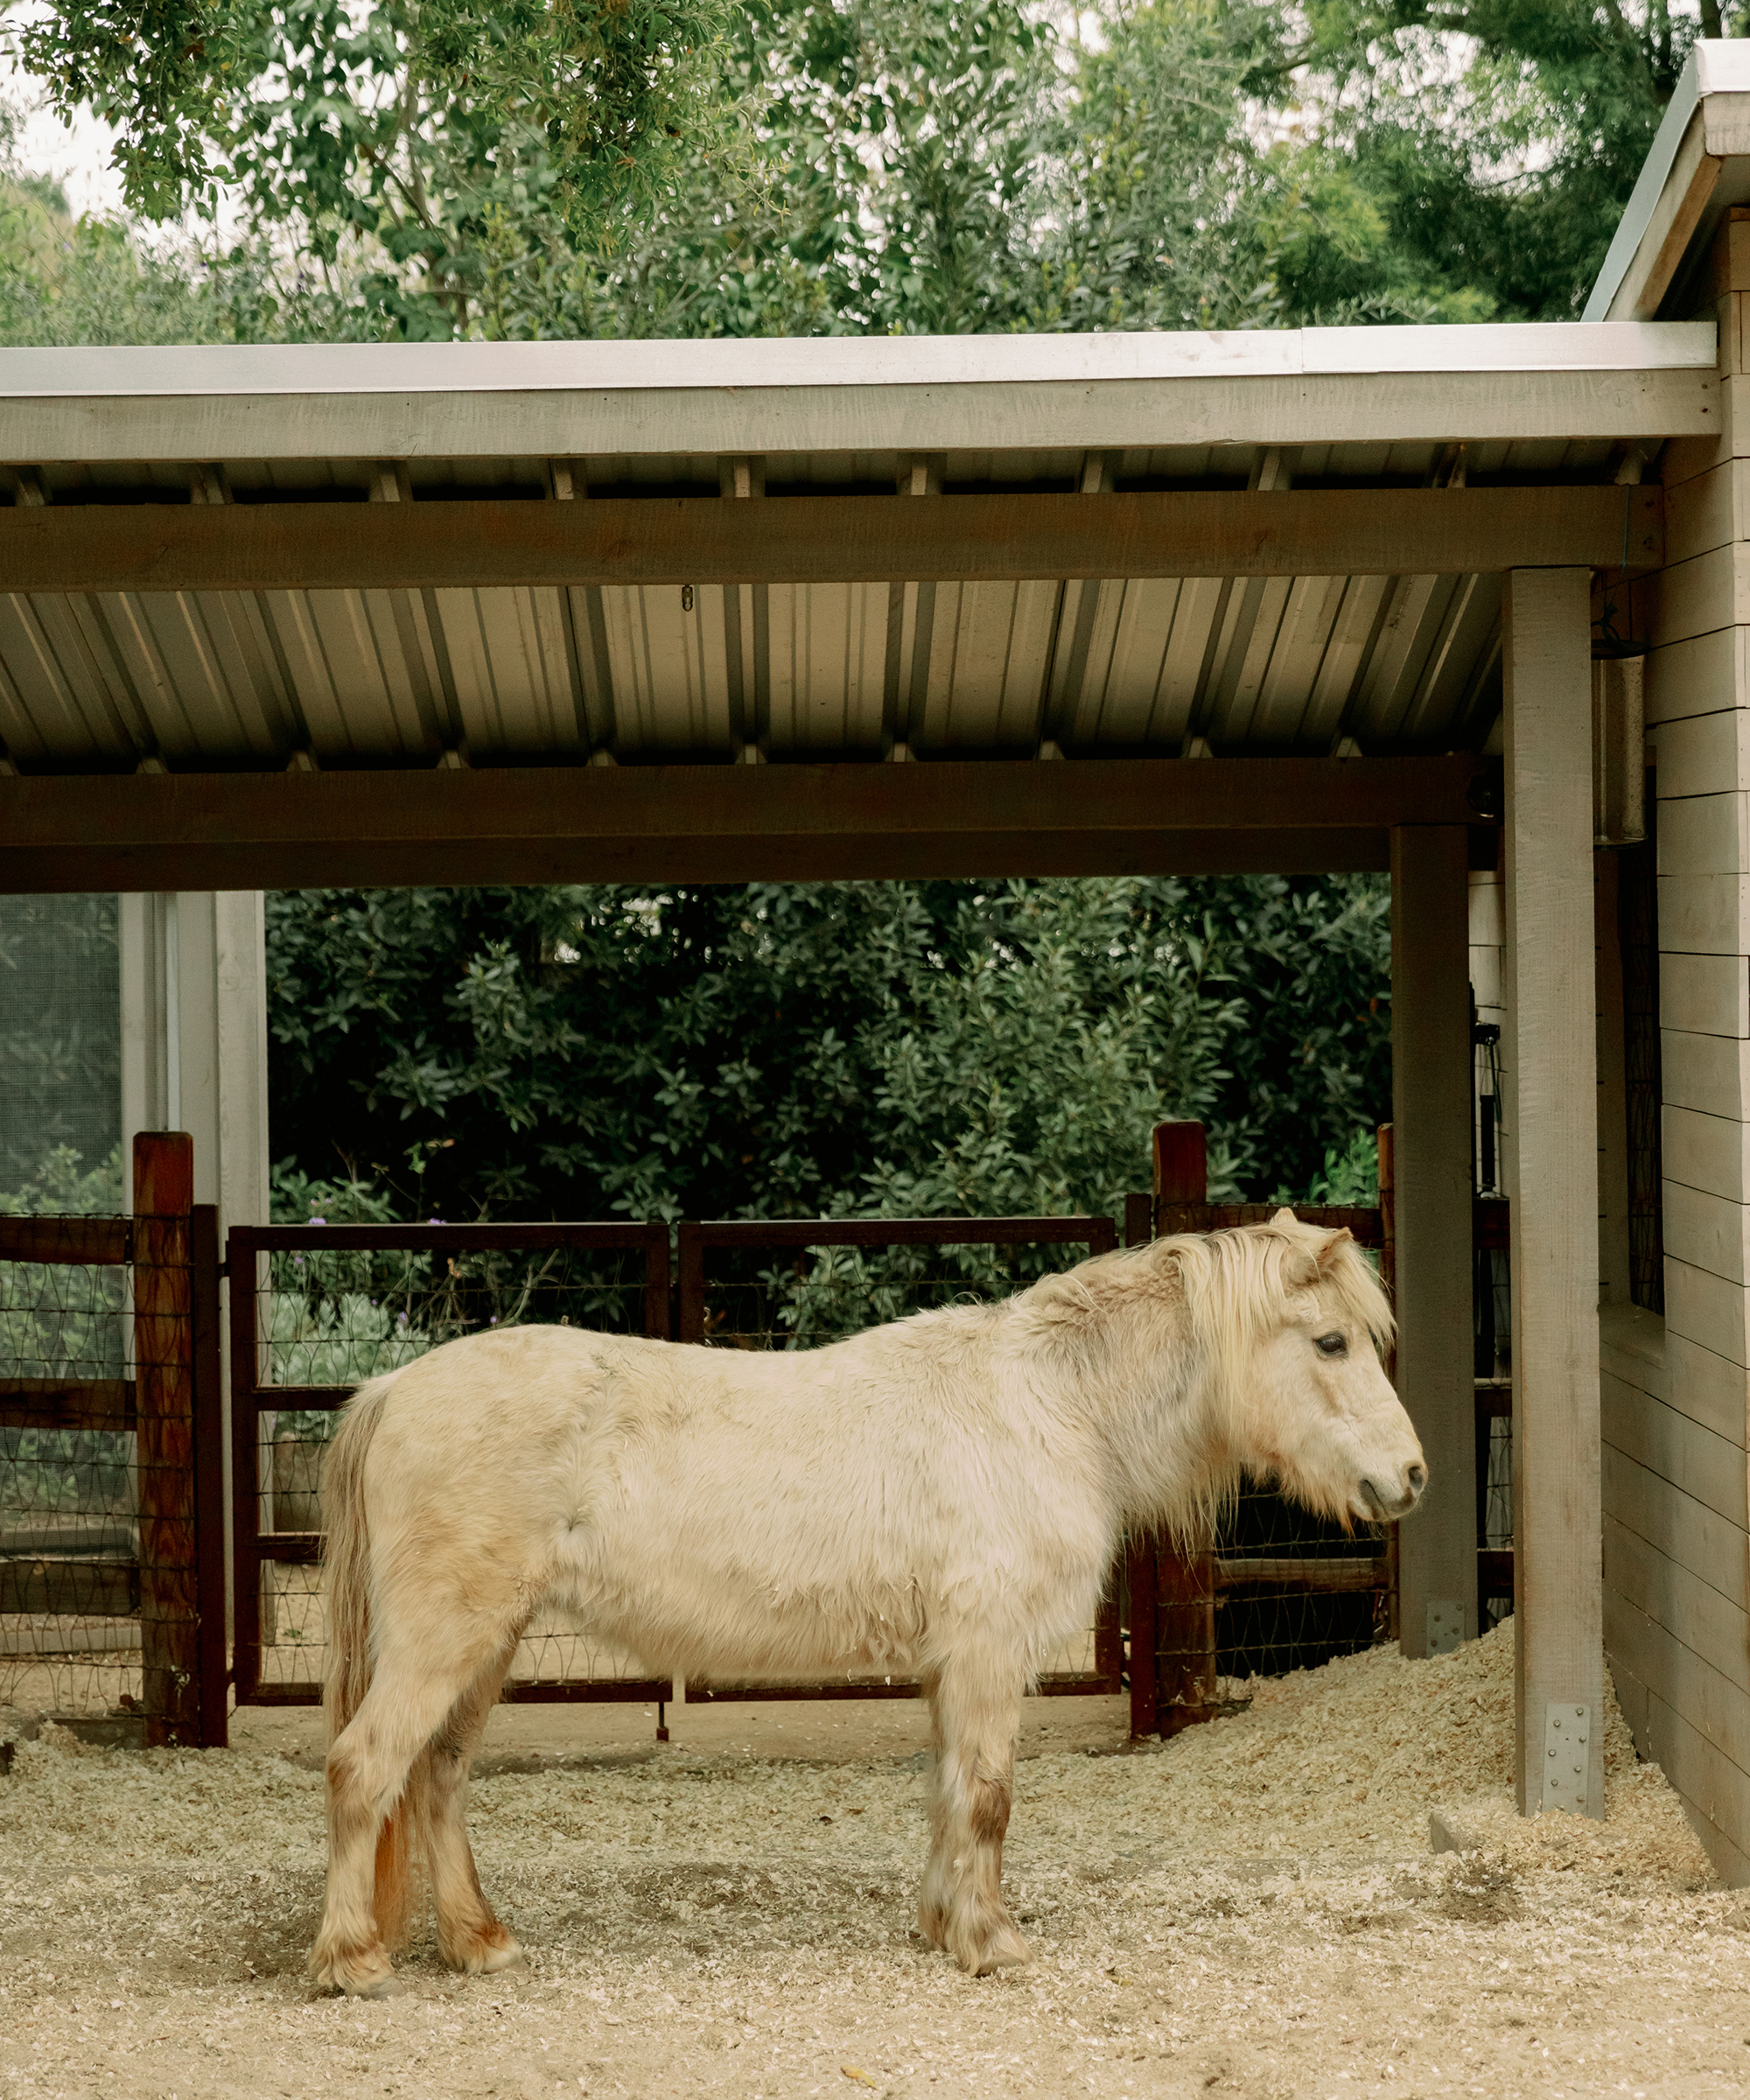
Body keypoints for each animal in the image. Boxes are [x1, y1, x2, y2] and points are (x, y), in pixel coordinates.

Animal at [307, 1211, 1424, 1996]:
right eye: (1329, 1343)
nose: (1409, 1477)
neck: (1050, 1408)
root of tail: (392, 1390)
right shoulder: (986, 1653)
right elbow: (987, 1798)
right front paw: (992, 1944)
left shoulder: (948, 1666)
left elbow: (948, 1794)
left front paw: (943, 1925)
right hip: (446, 1640)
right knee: (365, 1768)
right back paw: (352, 1961)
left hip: (486, 1644)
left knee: (437, 1778)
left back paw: (478, 1943)